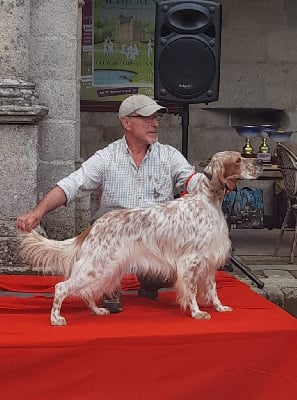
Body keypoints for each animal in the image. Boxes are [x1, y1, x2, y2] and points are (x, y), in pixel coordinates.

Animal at [19, 151, 262, 324]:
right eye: (239, 159)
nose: (259, 163)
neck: (208, 201)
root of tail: (94, 226)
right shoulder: (190, 261)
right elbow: (192, 291)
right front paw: (197, 313)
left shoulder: (210, 261)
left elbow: (212, 289)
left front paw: (220, 308)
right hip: (95, 266)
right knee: (62, 287)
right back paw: (56, 319)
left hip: (105, 269)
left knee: (87, 292)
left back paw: (98, 310)